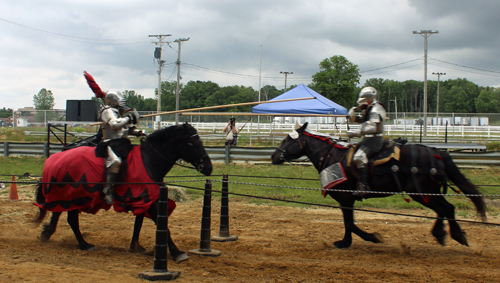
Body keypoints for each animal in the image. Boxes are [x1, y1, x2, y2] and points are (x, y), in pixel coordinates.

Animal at [31, 124, 211, 262]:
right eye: (193, 143)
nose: (208, 167)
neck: (149, 161)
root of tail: (53, 159)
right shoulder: (149, 201)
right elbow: (163, 226)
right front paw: (177, 252)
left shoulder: (144, 199)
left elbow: (139, 222)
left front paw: (135, 246)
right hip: (75, 196)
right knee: (71, 219)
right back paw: (84, 245)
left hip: (66, 196)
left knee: (57, 213)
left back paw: (47, 233)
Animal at [272, 123, 486, 250]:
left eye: (287, 139)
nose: (274, 156)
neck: (332, 156)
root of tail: (436, 152)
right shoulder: (347, 200)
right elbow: (349, 223)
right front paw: (349, 241)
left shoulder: (345, 197)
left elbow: (349, 223)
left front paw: (367, 238)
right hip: (427, 192)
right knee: (446, 209)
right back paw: (443, 233)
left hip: (421, 192)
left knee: (446, 208)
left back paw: (453, 235)